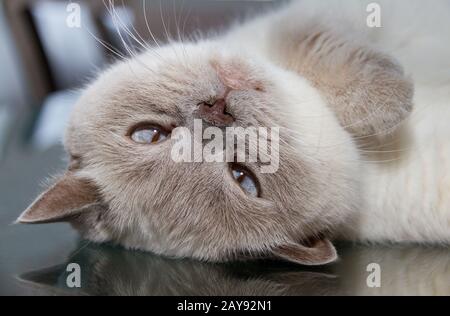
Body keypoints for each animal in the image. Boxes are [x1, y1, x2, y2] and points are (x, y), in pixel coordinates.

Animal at [16, 0, 450, 266]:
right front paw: (395, 102)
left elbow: (317, 42)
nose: (216, 114)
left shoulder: (311, 19)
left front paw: (387, 99)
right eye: (244, 179)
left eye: (148, 134)